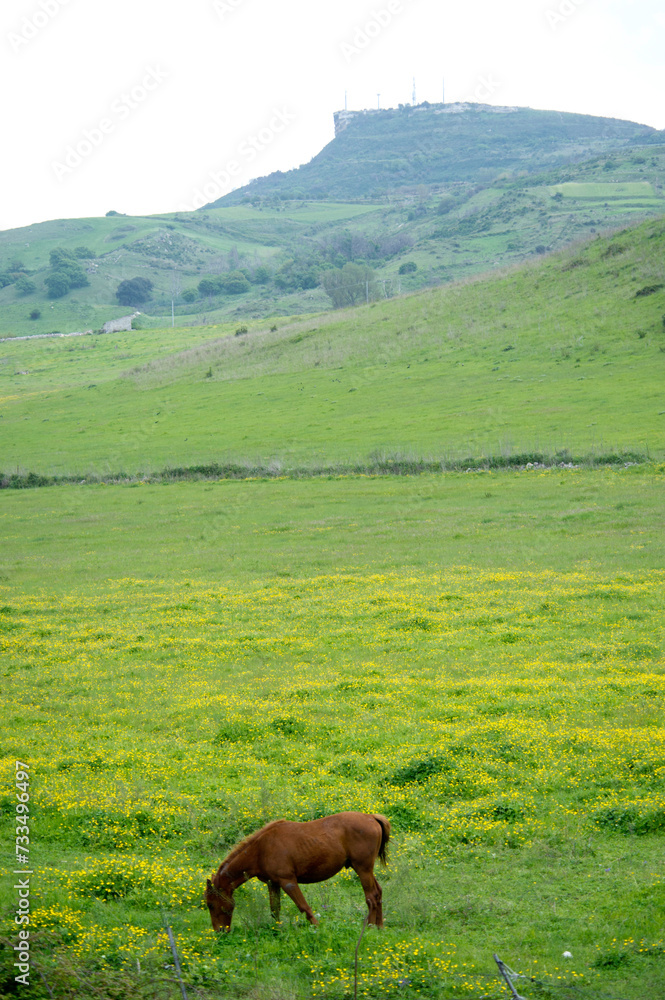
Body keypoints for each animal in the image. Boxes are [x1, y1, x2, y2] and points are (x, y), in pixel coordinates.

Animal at [205, 811, 390, 931]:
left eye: (211, 905)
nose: (220, 931)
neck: (261, 849)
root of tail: (372, 817)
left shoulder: (288, 882)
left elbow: (303, 906)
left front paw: (317, 927)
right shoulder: (273, 884)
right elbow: (275, 909)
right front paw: (277, 930)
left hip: (363, 869)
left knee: (371, 896)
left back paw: (370, 926)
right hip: (365, 870)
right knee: (378, 893)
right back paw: (379, 926)